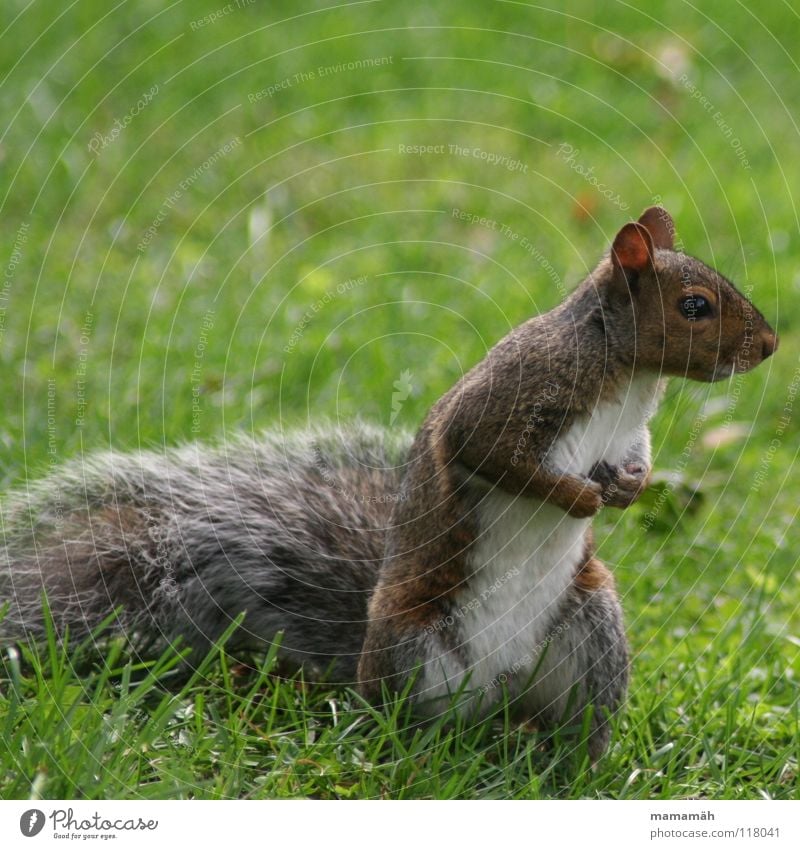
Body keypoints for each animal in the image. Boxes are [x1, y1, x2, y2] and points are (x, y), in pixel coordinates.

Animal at [0, 204, 776, 756]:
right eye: (696, 306)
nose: (769, 346)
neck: (629, 379)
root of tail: (494, 696)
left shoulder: (627, 434)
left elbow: (637, 459)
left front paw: (628, 488)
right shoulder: (506, 400)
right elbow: (494, 455)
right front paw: (578, 495)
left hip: (592, 627)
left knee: (574, 722)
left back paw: (575, 764)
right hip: (413, 644)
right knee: (406, 729)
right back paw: (417, 751)